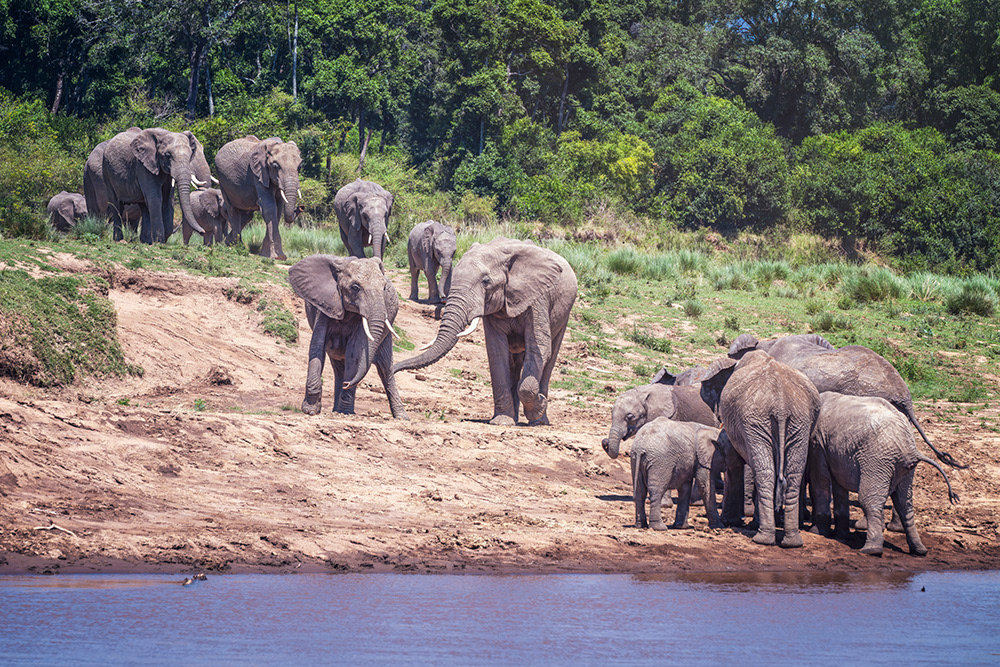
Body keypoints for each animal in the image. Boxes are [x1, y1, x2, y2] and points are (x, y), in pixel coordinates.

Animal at [288, 254, 408, 419]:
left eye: (384, 288)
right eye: (355, 287)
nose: (347, 384)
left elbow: (355, 351)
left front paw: (345, 412)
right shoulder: (326, 305)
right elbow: (317, 346)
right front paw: (310, 410)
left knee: (385, 368)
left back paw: (402, 417)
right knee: (338, 366)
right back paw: (336, 408)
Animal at [393, 238, 577, 426]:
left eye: (486, 281)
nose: (393, 370)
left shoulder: (537, 299)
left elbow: (538, 348)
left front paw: (538, 406)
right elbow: (496, 352)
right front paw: (502, 422)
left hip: (564, 313)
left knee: (550, 357)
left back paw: (539, 421)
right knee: (514, 362)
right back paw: (516, 418)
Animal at [700, 350, 821, 547]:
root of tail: (781, 405)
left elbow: (734, 462)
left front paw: (730, 521)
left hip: (756, 420)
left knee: (765, 473)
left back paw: (762, 538)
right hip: (799, 421)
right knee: (792, 475)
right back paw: (791, 541)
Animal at [809, 392, 959, 556]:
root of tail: (911, 449)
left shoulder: (817, 441)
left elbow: (820, 480)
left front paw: (816, 532)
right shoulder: (832, 448)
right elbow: (838, 485)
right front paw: (841, 536)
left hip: (877, 459)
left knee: (868, 500)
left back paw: (871, 550)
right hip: (903, 468)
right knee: (904, 504)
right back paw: (919, 550)